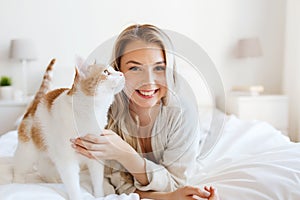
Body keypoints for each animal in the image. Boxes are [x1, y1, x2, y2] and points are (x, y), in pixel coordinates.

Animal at [13, 58, 124, 200]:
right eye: (105, 72)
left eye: (115, 70)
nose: (121, 74)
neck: (89, 113)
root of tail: (36, 102)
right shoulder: (67, 160)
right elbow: (73, 184)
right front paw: (77, 197)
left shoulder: (95, 155)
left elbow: (97, 180)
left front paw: (99, 196)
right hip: (28, 151)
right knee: (19, 168)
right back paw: (18, 182)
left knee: (43, 167)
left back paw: (52, 180)